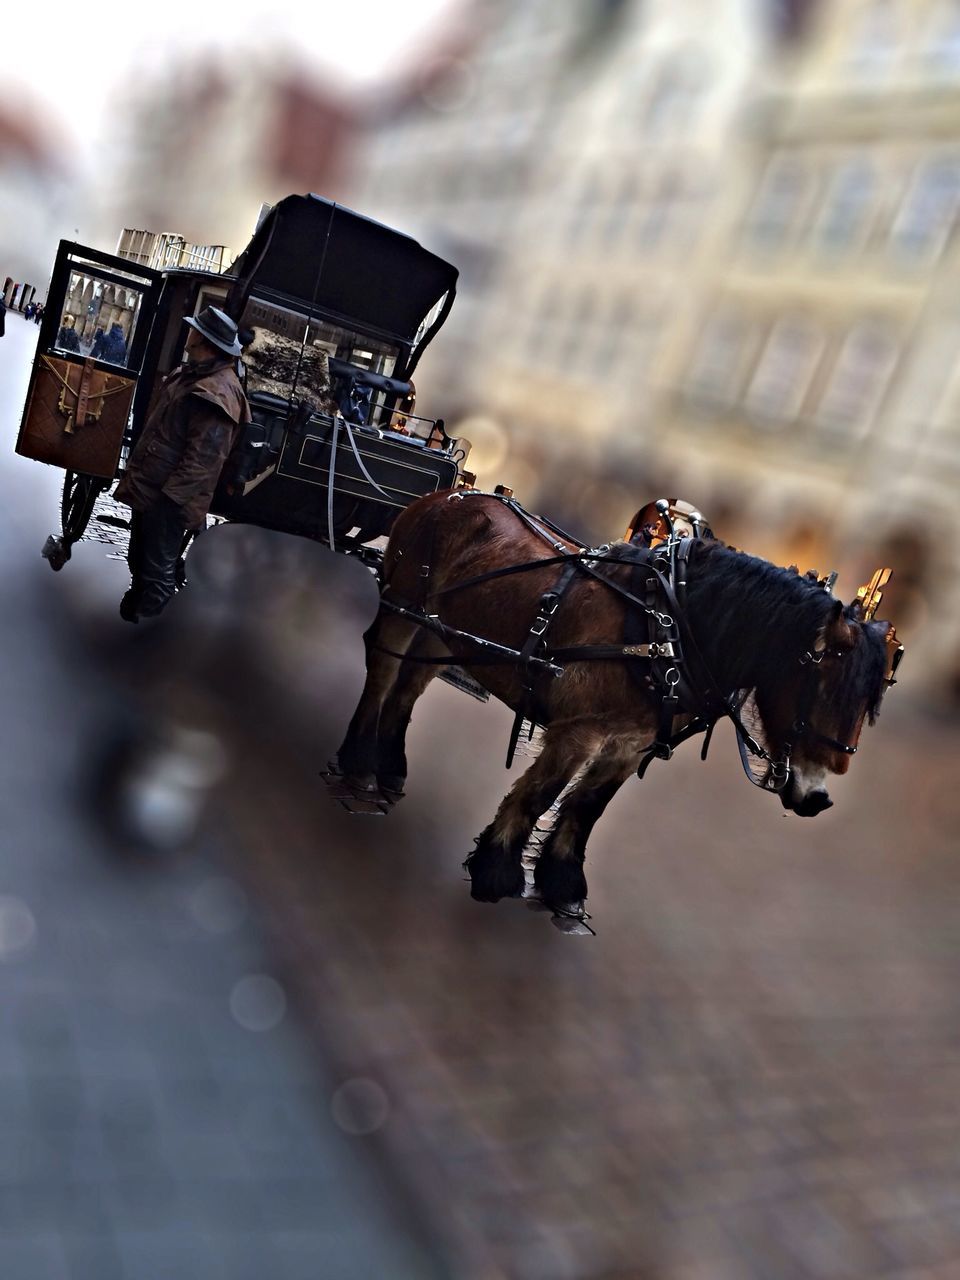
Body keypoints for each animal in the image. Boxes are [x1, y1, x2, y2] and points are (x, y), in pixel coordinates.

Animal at [337, 488, 901, 921]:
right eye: (824, 688)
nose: (817, 798)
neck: (662, 623)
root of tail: (447, 496)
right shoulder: (578, 730)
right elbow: (540, 794)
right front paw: (496, 869)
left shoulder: (631, 743)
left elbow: (589, 806)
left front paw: (562, 883)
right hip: (403, 607)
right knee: (383, 674)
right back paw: (358, 761)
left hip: (444, 630)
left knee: (409, 686)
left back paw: (389, 764)